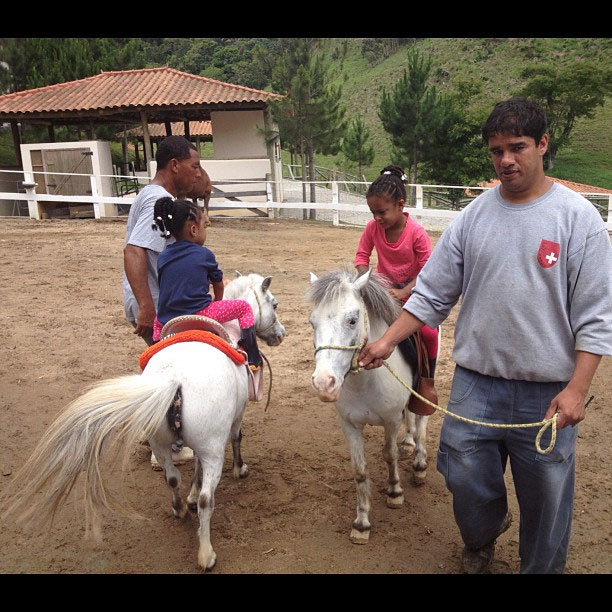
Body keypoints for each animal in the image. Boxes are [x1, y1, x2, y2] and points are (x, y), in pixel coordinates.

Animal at [0, 272, 286, 568]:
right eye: (274, 304)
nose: (280, 335)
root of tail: (173, 379)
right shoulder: (235, 419)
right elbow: (236, 439)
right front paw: (240, 470)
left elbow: (193, 470)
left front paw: (190, 497)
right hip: (212, 450)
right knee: (208, 500)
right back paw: (206, 554)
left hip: (160, 445)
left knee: (172, 479)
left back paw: (180, 508)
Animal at [308, 268, 432, 544]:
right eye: (313, 322)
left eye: (353, 320)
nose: (324, 383)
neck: (364, 382)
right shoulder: (350, 425)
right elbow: (360, 470)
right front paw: (362, 522)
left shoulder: (391, 421)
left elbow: (389, 455)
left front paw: (395, 492)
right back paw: (409, 443)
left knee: (420, 423)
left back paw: (419, 465)